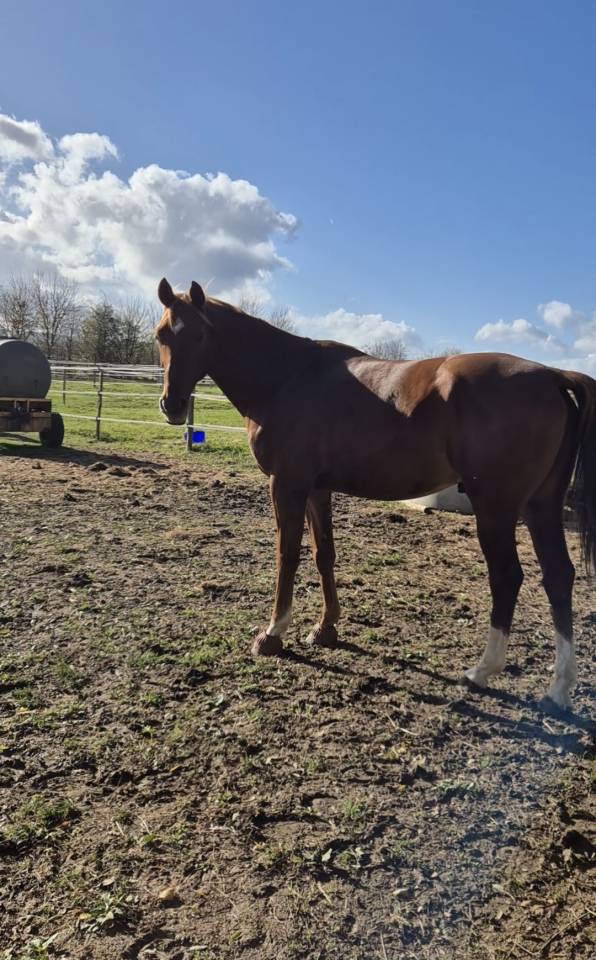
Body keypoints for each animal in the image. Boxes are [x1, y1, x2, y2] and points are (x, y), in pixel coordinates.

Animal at [156, 278, 596, 711]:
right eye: (162, 334)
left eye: (200, 334)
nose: (172, 405)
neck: (287, 378)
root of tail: (554, 375)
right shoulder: (317, 489)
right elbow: (324, 555)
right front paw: (325, 629)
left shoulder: (287, 485)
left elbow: (287, 555)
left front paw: (273, 633)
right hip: (540, 506)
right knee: (558, 576)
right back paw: (558, 688)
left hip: (496, 508)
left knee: (507, 577)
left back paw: (482, 671)